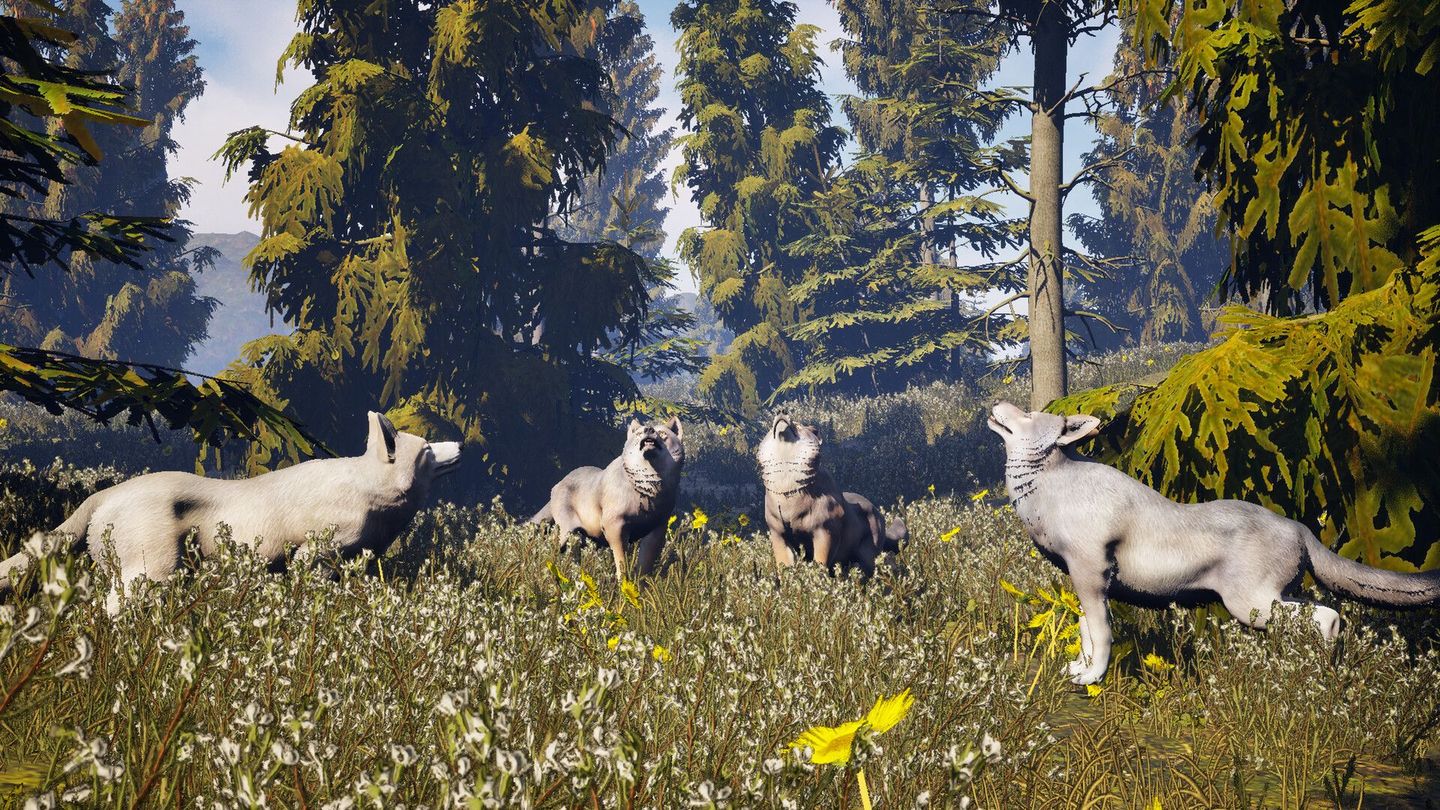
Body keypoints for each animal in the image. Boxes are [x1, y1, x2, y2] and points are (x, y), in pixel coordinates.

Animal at [0, 412, 460, 612]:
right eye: (427, 450)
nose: (462, 445)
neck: (372, 492)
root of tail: (108, 492)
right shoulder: (315, 554)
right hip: (153, 571)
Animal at [530, 416, 685, 580]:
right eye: (639, 434)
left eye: (662, 433)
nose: (649, 429)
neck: (648, 492)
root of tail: (557, 485)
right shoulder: (615, 525)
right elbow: (621, 562)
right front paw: (624, 583)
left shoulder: (656, 530)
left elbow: (645, 566)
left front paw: (640, 585)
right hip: (567, 532)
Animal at [756, 413, 907, 574]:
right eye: (771, 427)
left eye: (798, 425)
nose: (781, 412)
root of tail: (880, 515)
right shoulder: (777, 533)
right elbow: (784, 562)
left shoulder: (826, 528)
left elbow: (821, 558)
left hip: (868, 550)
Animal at [986, 400, 1440, 685]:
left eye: (1029, 414)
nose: (997, 405)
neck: (1047, 489)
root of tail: (1300, 528)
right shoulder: (1080, 580)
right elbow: (1084, 630)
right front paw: (1079, 672)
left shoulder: (1091, 572)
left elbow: (1101, 633)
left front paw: (1092, 678)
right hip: (1274, 599)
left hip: (1250, 604)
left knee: (1329, 617)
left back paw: (1322, 673)